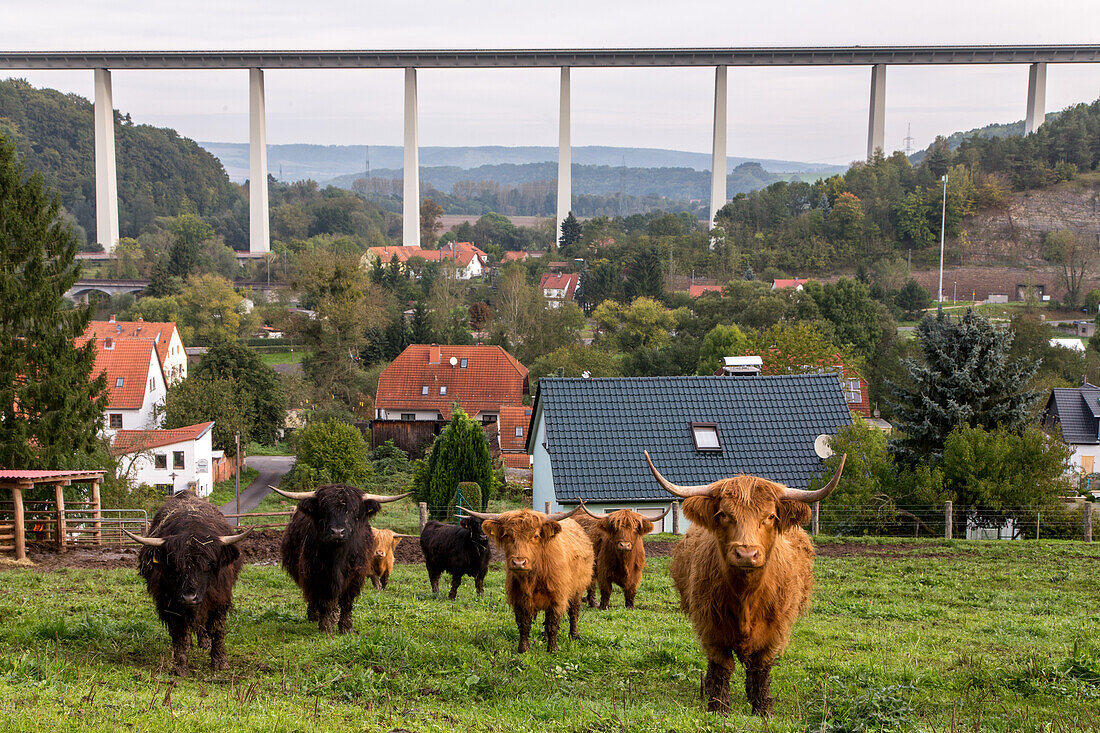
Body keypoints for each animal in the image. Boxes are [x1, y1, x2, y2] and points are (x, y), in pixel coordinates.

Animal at [125, 490, 251, 673]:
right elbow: (179, 632)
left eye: (208, 564)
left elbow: (217, 628)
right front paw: (180, 665)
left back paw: (205, 643)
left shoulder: (220, 598)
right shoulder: (169, 603)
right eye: (174, 565)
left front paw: (220, 662)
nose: (189, 597)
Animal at [646, 449, 844, 717]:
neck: (746, 597)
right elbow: (721, 666)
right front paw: (718, 707)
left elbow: (760, 669)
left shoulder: (775, 631)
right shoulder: (710, 626)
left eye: (770, 516)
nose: (747, 554)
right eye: (723, 515)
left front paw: (763, 710)